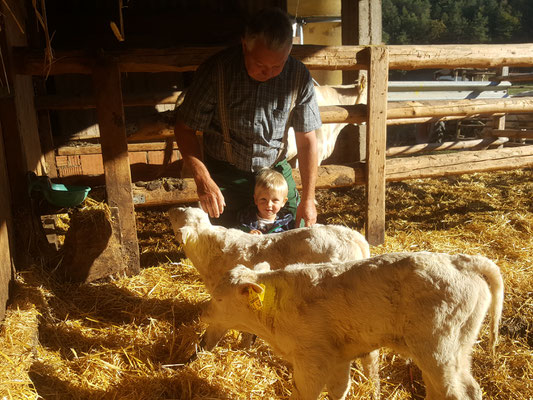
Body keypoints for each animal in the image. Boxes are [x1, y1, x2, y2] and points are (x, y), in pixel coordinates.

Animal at [202, 253, 500, 400]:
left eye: (219, 298)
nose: (204, 314)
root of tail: (463, 260)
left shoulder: (312, 359)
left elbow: (304, 393)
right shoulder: (338, 357)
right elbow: (338, 390)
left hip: (438, 349)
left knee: (458, 392)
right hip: (456, 349)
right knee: (455, 390)